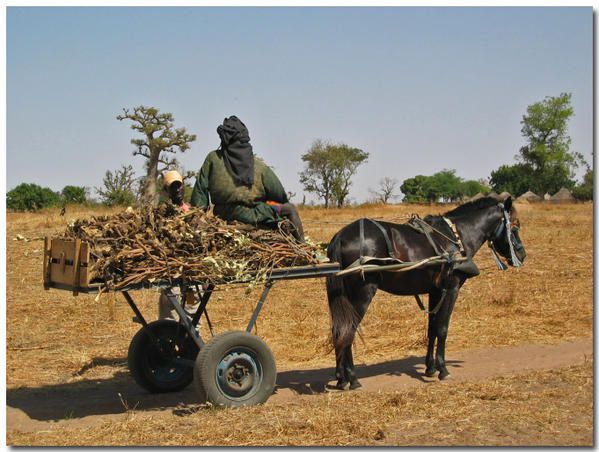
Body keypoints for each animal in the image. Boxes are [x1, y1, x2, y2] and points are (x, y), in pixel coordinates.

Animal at [326, 196, 528, 390]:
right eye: (515, 226)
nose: (522, 254)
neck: (456, 237)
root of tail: (341, 236)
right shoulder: (451, 289)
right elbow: (443, 328)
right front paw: (443, 369)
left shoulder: (435, 292)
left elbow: (432, 329)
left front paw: (430, 367)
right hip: (363, 293)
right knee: (348, 330)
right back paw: (352, 379)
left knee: (339, 330)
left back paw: (341, 379)